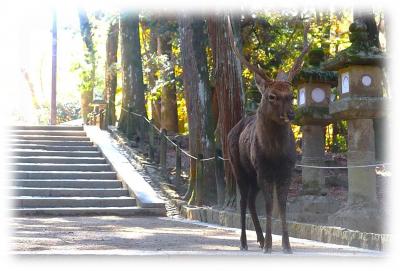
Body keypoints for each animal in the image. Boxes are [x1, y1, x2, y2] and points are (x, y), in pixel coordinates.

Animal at [227, 15, 310, 254]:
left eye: (291, 95)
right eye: (272, 96)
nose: (291, 113)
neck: (275, 154)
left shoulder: (287, 169)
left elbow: (281, 206)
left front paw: (286, 246)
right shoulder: (263, 169)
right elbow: (269, 205)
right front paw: (272, 246)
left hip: (252, 175)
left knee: (251, 201)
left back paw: (262, 239)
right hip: (238, 167)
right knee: (244, 201)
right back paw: (245, 243)